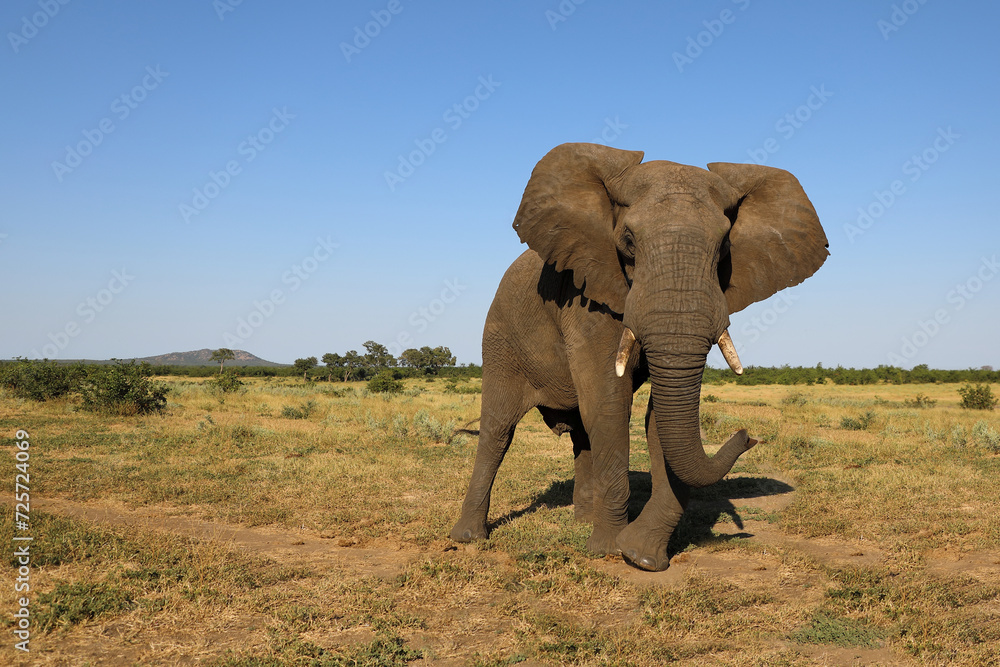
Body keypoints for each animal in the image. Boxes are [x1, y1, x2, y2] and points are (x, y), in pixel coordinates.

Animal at [450, 143, 828, 571]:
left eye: (725, 248)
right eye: (629, 241)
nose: (748, 435)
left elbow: (659, 415)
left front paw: (640, 556)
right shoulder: (586, 298)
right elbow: (609, 404)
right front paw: (610, 550)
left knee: (580, 432)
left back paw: (583, 520)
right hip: (501, 338)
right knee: (498, 429)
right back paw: (468, 537)